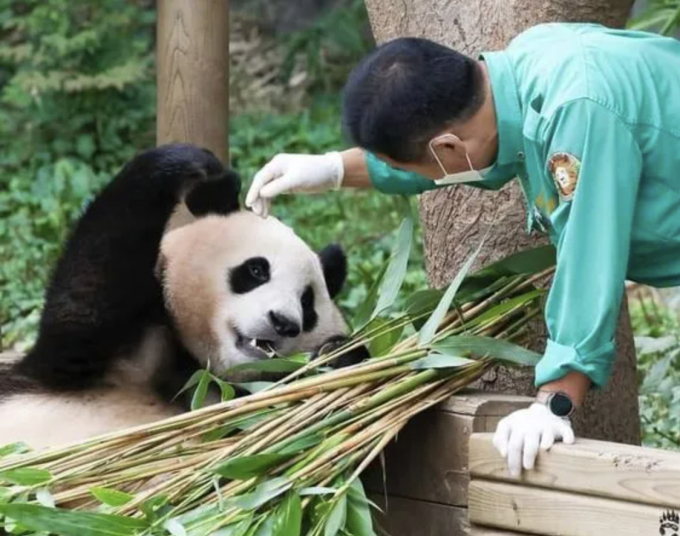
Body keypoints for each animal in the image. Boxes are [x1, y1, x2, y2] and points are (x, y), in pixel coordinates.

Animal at [0, 144, 366, 450]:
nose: (284, 323)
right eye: (257, 270)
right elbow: (84, 304)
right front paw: (201, 165)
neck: (196, 366)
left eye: (307, 302)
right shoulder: (102, 357)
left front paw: (337, 354)